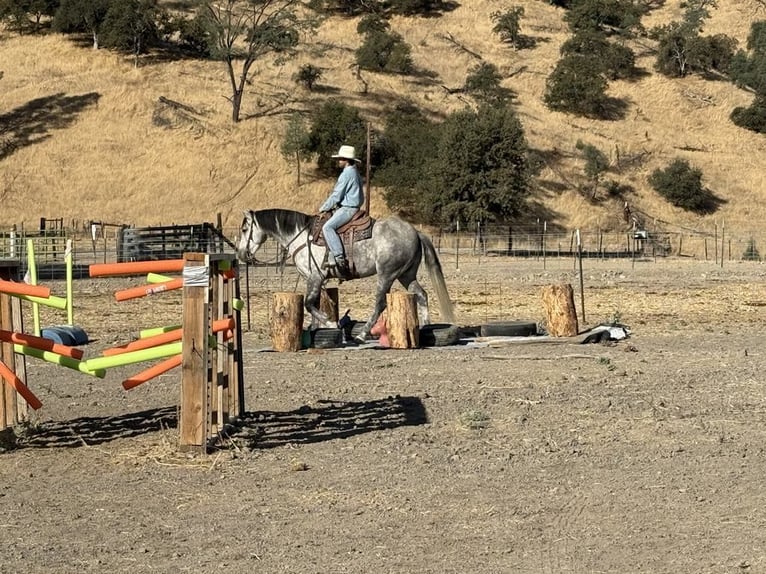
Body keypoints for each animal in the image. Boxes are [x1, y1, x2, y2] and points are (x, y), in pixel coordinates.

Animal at [237, 208, 456, 340]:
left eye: (245, 228)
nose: (240, 254)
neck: (301, 236)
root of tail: (415, 232)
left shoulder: (316, 277)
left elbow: (309, 304)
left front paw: (331, 322)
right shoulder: (314, 280)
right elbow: (314, 304)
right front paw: (315, 329)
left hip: (387, 274)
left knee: (380, 303)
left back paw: (363, 334)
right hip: (406, 275)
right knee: (422, 295)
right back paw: (425, 328)